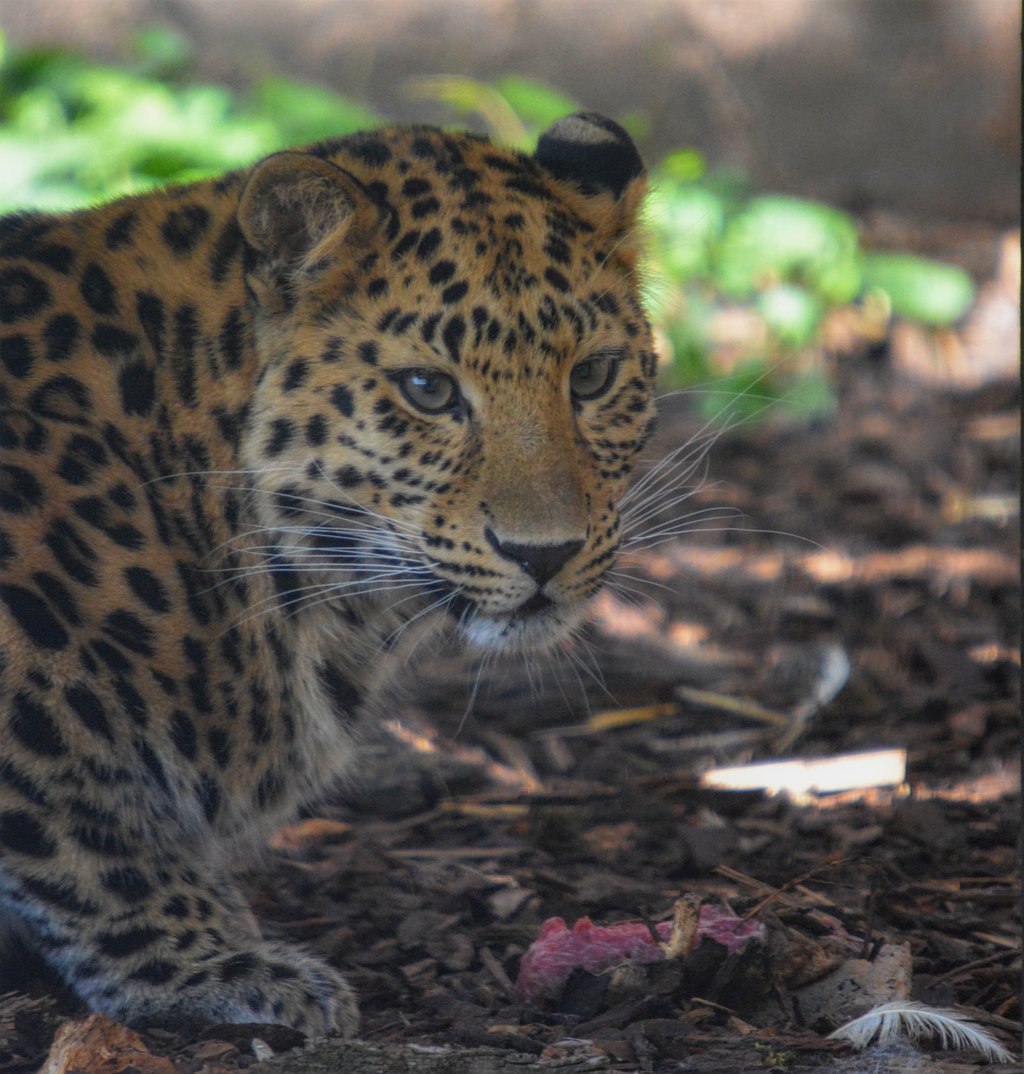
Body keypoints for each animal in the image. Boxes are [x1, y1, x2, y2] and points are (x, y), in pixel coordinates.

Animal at [0, 112, 657, 1036]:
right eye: (427, 389)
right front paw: (213, 962)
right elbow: (86, 818)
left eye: (592, 376)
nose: (545, 553)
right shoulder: (29, 650)